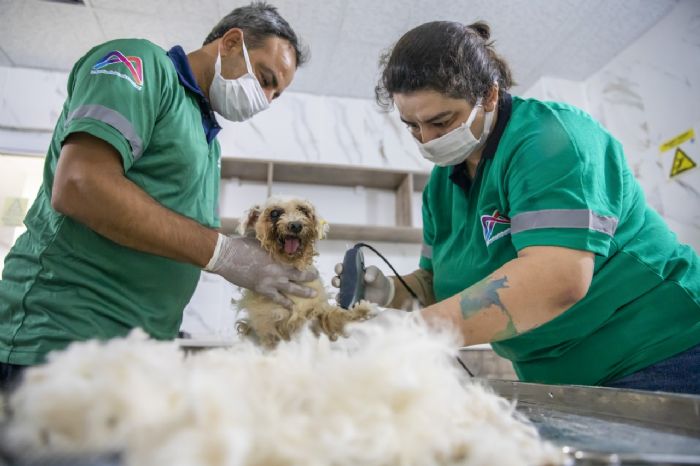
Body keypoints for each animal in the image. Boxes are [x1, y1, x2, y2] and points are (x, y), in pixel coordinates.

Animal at [235, 195, 374, 348]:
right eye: (274, 213)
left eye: (303, 210)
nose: (296, 225)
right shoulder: (269, 327)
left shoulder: (319, 313)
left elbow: (337, 316)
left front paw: (361, 311)